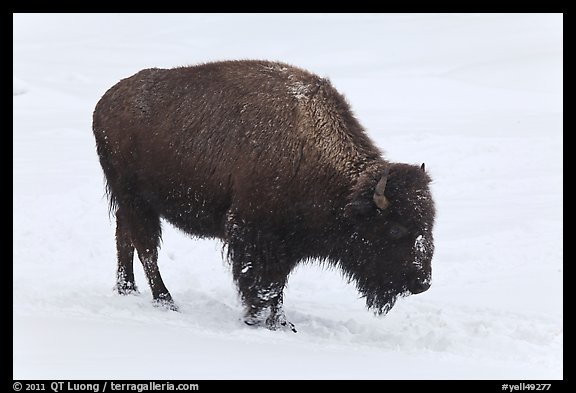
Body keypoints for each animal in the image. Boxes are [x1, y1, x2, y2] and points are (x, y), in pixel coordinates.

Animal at [93, 60, 436, 330]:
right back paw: (166, 301)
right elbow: (263, 284)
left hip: (130, 203)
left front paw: (280, 323)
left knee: (125, 239)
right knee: (147, 249)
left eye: (429, 224)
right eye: (395, 229)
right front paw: (258, 319)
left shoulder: (285, 245)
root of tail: (105, 101)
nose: (422, 282)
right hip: (136, 200)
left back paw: (127, 289)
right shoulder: (254, 235)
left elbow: (278, 285)